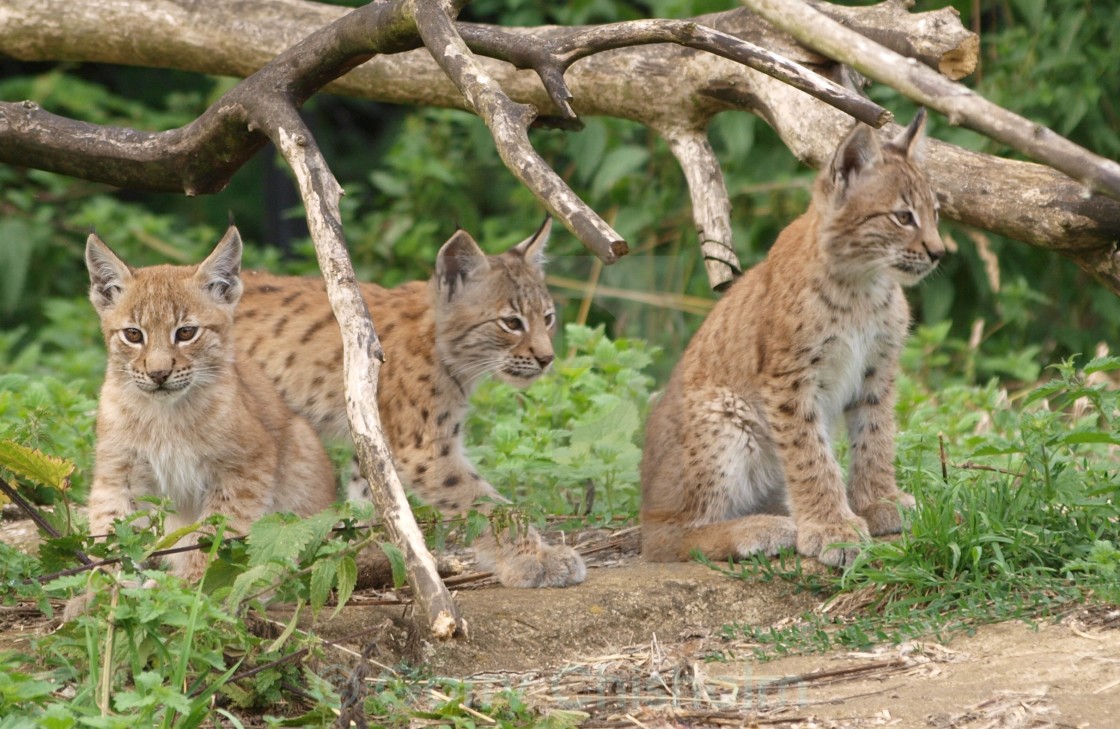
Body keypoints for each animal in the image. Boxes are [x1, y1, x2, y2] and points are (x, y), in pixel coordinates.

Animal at [81, 229, 333, 586]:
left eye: (186, 332)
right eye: (133, 334)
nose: (159, 374)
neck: (164, 413)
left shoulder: (244, 468)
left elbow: (213, 535)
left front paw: (191, 587)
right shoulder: (116, 473)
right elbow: (111, 533)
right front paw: (105, 590)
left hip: (301, 444)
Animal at [234, 220, 586, 586]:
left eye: (548, 318)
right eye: (512, 323)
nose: (547, 358)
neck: (445, 348)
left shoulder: (374, 438)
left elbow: (369, 500)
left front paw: (374, 554)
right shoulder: (423, 450)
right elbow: (489, 505)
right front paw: (538, 559)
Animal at [640, 111, 945, 566]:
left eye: (935, 214)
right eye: (903, 217)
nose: (939, 253)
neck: (863, 284)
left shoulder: (876, 370)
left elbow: (876, 436)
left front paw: (877, 502)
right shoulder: (789, 379)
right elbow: (810, 455)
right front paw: (832, 529)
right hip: (725, 410)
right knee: (664, 539)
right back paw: (759, 529)